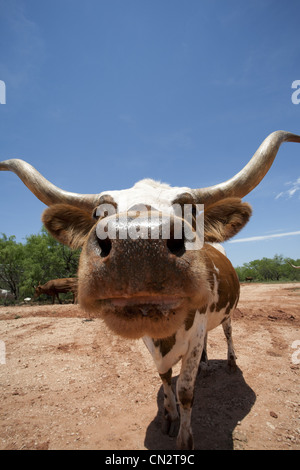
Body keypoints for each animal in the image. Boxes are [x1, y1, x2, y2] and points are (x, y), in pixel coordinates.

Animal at [0, 130, 300, 450]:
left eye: (191, 208)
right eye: (97, 213)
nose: (139, 244)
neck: (166, 335)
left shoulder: (194, 335)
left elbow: (186, 391)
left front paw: (184, 438)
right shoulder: (153, 341)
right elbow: (165, 377)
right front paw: (169, 416)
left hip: (228, 312)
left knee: (229, 333)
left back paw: (230, 363)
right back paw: (206, 364)